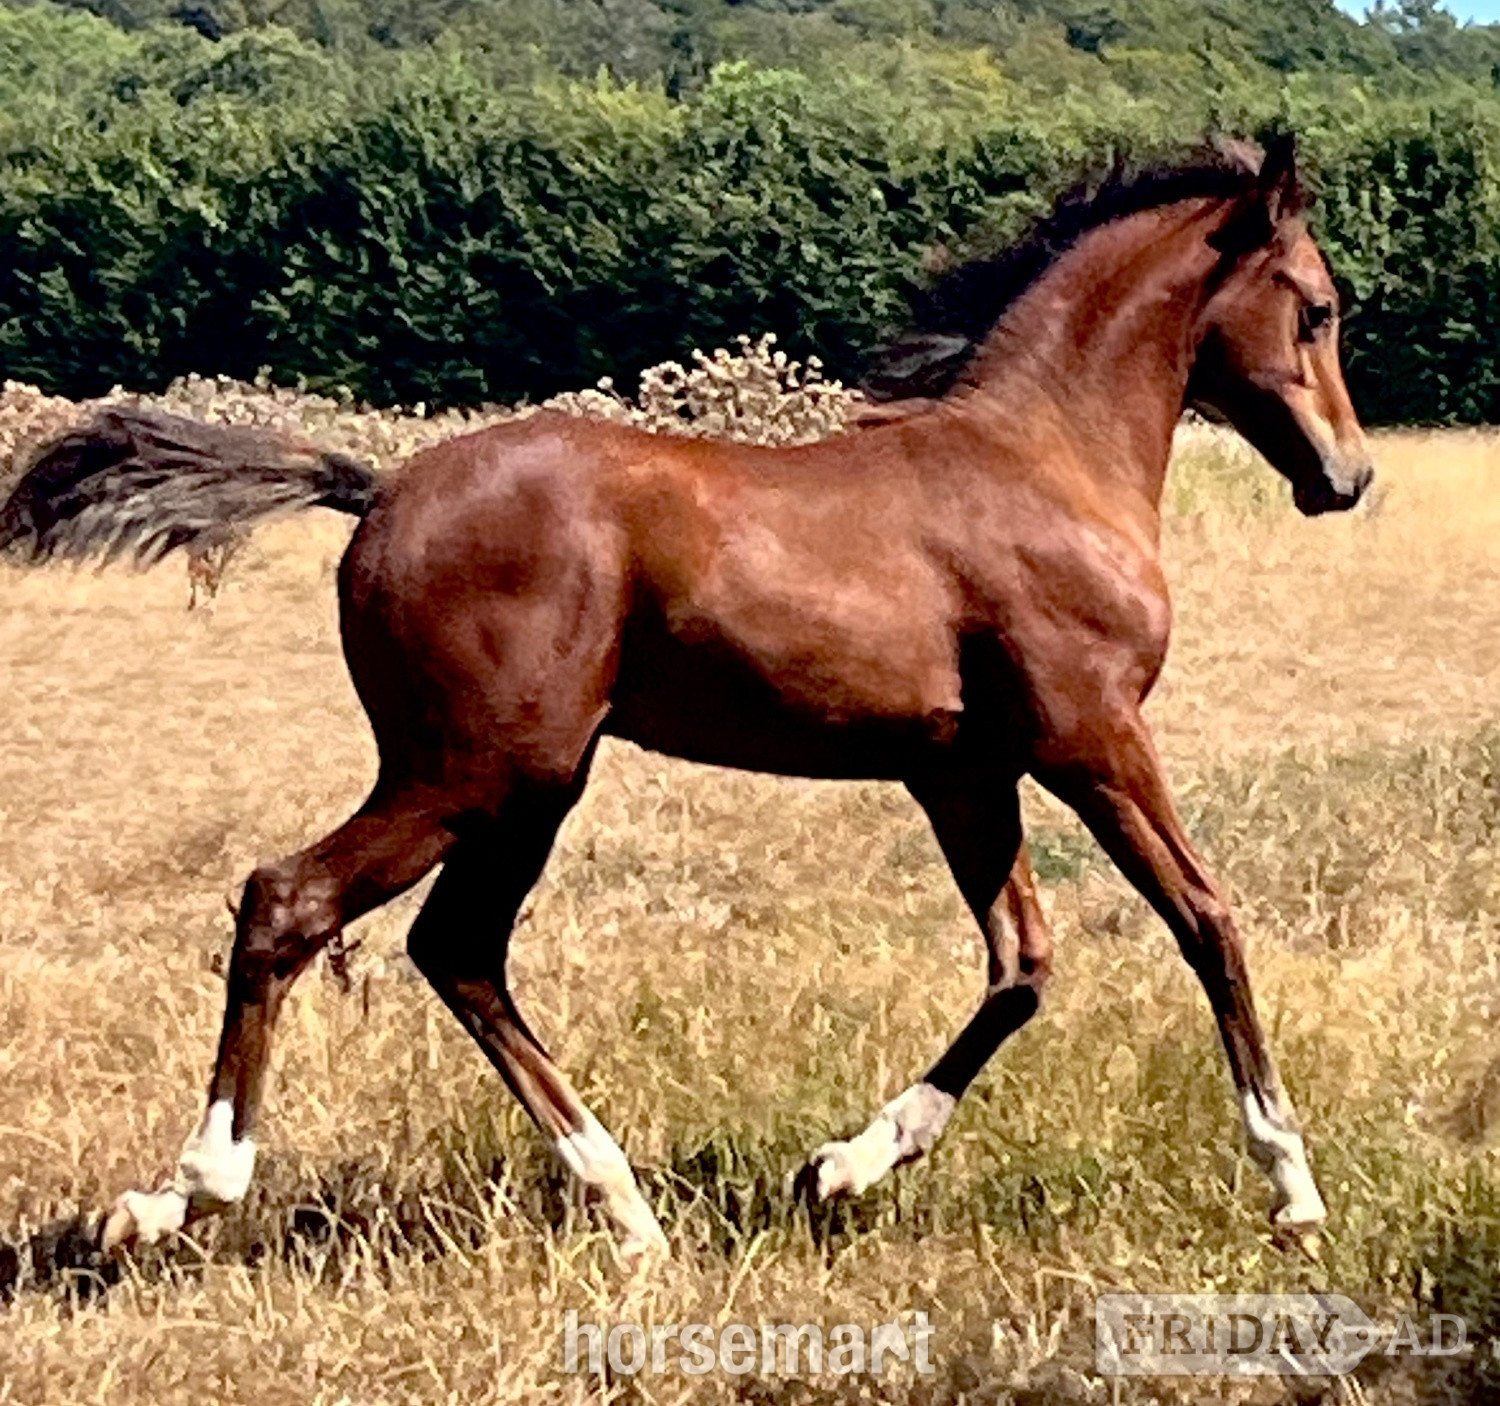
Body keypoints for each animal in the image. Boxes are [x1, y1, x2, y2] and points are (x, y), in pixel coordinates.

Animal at [0, 136, 1373, 1260]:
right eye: (1316, 308)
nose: (1347, 478)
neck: (1043, 461)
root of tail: (380, 488)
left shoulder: (962, 769)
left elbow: (1021, 965)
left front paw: (844, 1165)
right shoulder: (1092, 735)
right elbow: (1207, 917)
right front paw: (1292, 1186)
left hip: (532, 784)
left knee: (457, 948)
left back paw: (625, 1204)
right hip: (474, 769)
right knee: (290, 902)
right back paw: (179, 1193)